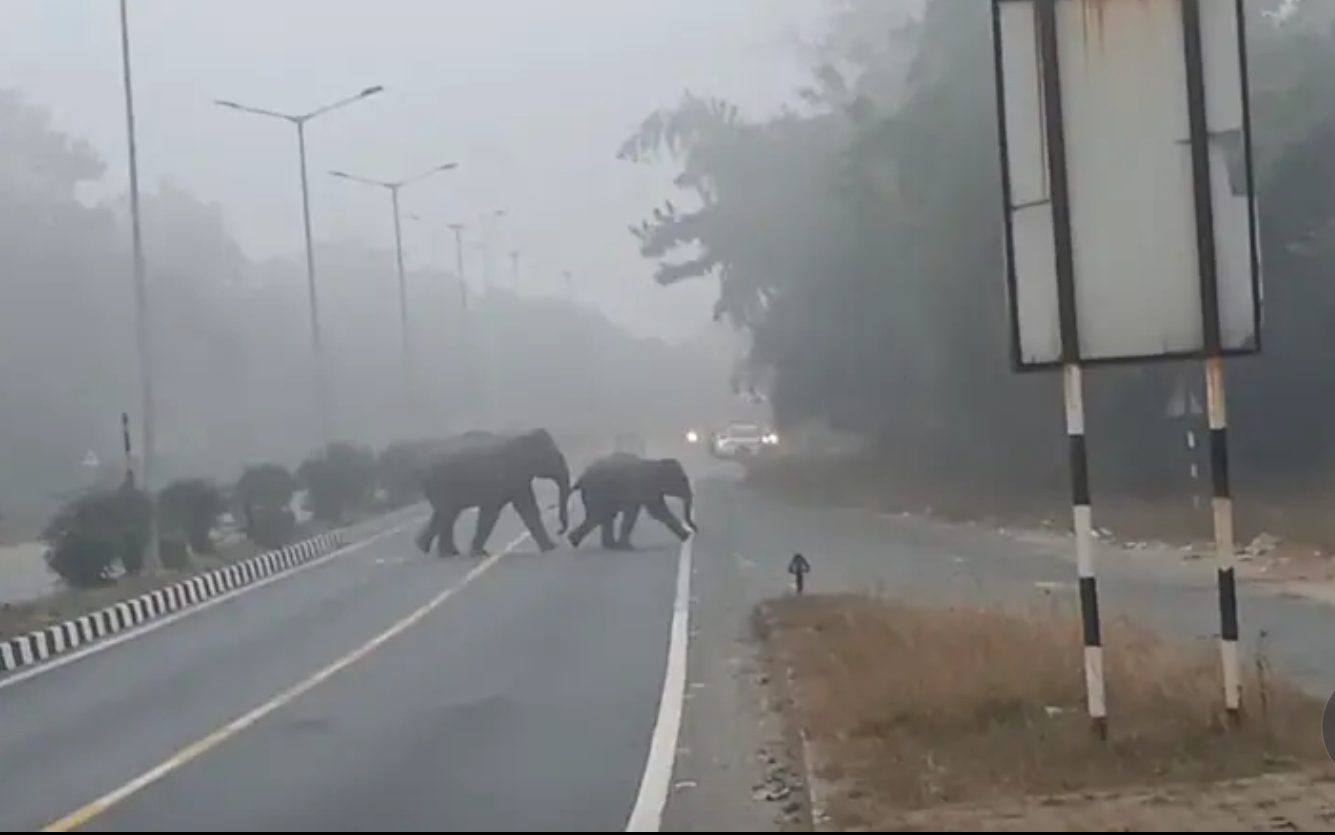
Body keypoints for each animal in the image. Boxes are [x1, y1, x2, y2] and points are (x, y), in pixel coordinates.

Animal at [414, 428, 570, 557]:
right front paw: (479, 553)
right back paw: (442, 553)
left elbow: (528, 509)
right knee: (446, 514)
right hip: (441, 486)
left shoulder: (518, 480)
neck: (519, 438)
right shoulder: (506, 477)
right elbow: (492, 513)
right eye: (555, 457)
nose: (559, 531)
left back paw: (431, 549)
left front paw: (551, 548)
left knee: (446, 515)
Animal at [566, 453, 696, 550]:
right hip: (597, 491)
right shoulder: (642, 487)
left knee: (605, 516)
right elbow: (654, 512)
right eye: (683, 480)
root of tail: (582, 477)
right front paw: (628, 548)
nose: (695, 530)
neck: (656, 463)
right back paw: (574, 541)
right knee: (598, 516)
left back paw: (608, 546)